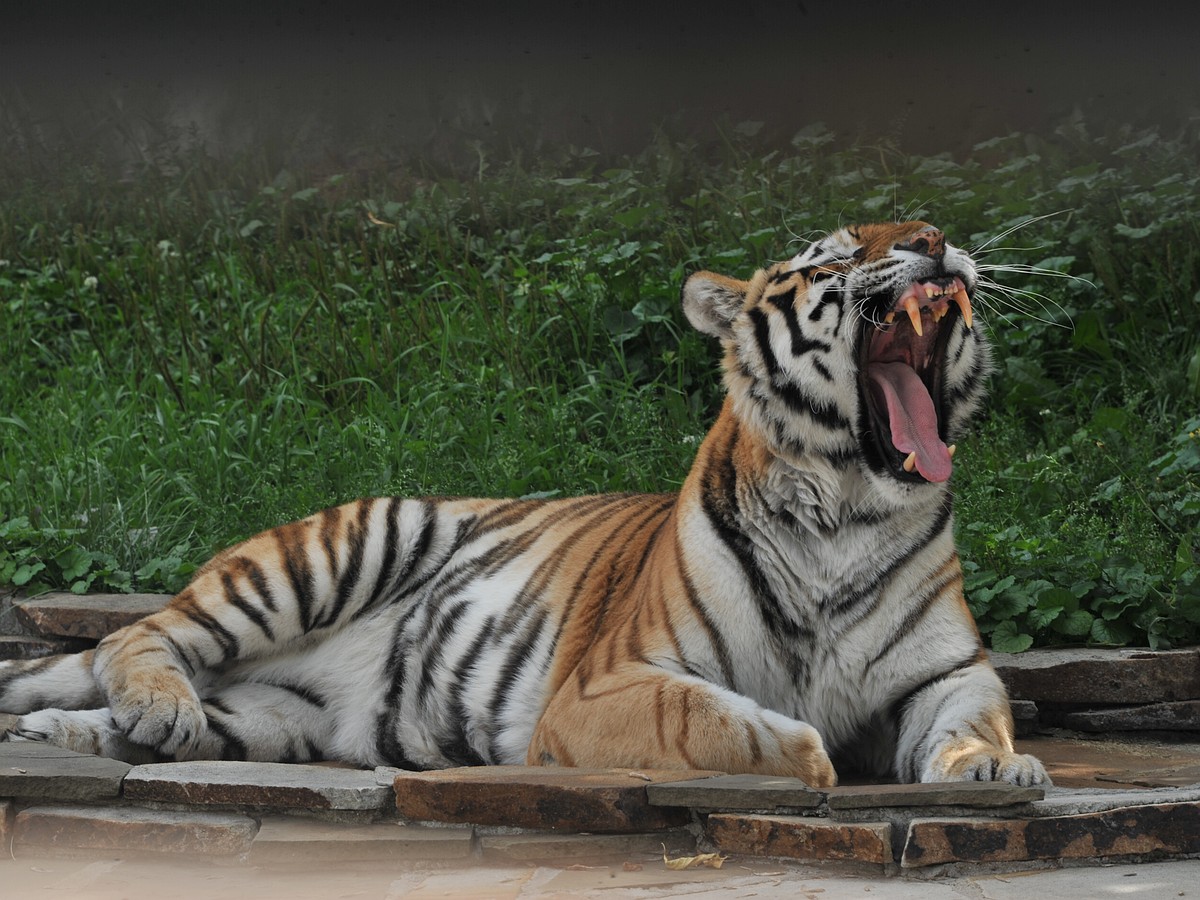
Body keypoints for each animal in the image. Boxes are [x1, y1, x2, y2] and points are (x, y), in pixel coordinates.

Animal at [0, 222, 1051, 787]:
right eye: (829, 258)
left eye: (924, 231)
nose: (933, 242)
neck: (846, 504)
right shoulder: (608, 687)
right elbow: (718, 720)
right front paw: (813, 748)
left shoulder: (945, 673)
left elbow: (973, 718)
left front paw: (996, 767)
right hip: (329, 553)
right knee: (139, 636)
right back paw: (151, 706)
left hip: (278, 716)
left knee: (165, 702)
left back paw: (94, 732)